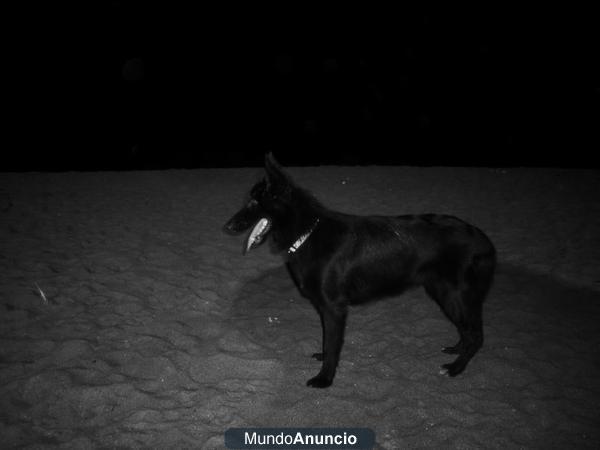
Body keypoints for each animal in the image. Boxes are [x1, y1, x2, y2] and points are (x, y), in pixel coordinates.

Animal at [223, 155, 494, 386]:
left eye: (255, 201)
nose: (227, 227)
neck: (308, 232)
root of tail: (485, 241)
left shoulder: (334, 309)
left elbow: (332, 344)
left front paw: (324, 379)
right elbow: (328, 343)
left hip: (455, 295)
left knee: (476, 335)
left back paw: (455, 368)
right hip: (444, 293)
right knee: (467, 331)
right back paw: (456, 350)